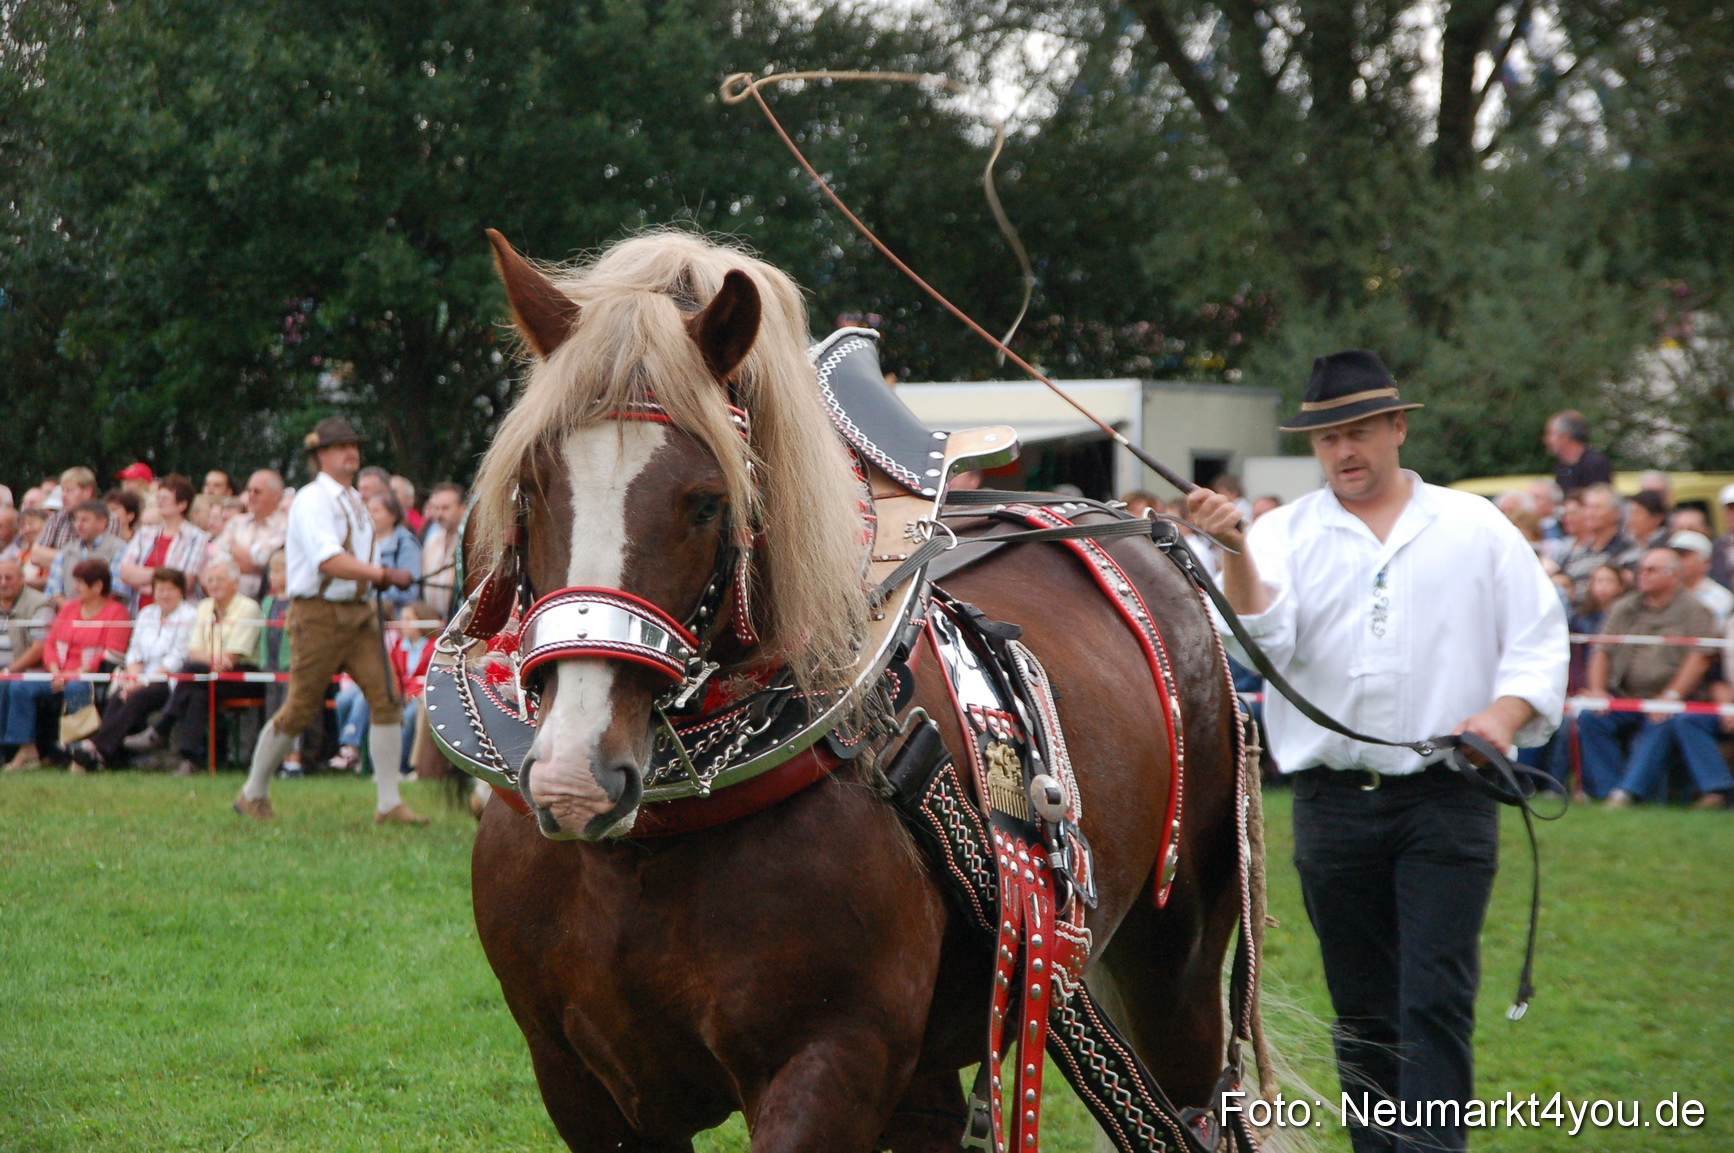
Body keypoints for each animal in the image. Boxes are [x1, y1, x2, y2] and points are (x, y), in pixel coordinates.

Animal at [459, 228, 1261, 1152]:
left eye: (706, 502)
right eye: (530, 485)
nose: (574, 776)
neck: (648, 852)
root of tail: (1152, 533)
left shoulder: (832, 1061)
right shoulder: (581, 1084)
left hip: (1177, 958)